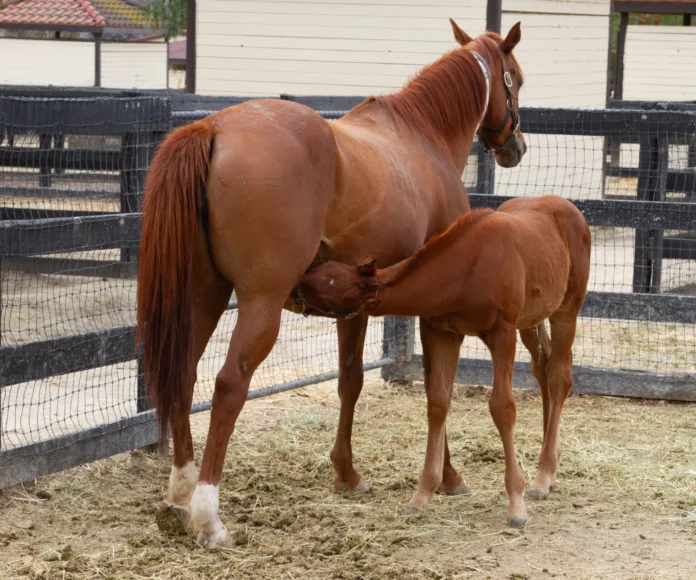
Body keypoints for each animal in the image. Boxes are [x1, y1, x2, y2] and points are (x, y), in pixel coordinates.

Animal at [136, 20, 527, 548]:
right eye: (516, 80)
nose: (515, 147)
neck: (423, 136)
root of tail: (213, 127)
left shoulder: (354, 304)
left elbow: (350, 381)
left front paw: (346, 473)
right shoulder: (431, 306)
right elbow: (436, 389)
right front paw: (448, 477)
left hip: (203, 296)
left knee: (184, 376)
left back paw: (179, 493)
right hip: (259, 303)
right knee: (229, 385)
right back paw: (208, 515)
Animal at [300, 195, 591, 527]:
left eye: (327, 289)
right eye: (327, 269)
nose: (297, 281)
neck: (468, 267)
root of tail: (568, 207)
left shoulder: (502, 333)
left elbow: (502, 407)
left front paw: (516, 505)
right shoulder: (444, 332)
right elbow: (438, 402)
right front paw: (422, 495)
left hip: (566, 309)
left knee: (559, 375)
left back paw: (543, 475)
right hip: (531, 318)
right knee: (542, 368)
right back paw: (550, 467)